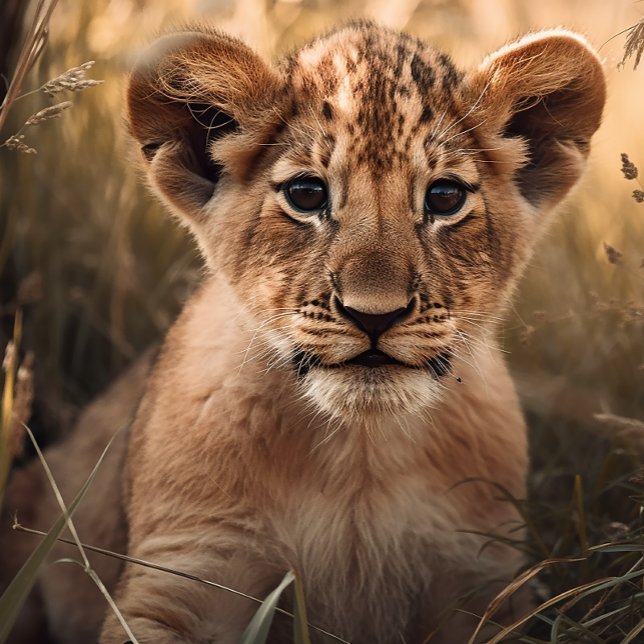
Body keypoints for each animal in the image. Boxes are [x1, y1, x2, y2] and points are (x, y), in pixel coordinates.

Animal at [1, 20, 605, 644]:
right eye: (307, 194)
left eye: (445, 197)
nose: (374, 314)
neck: (359, 453)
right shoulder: (186, 568)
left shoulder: (484, 580)